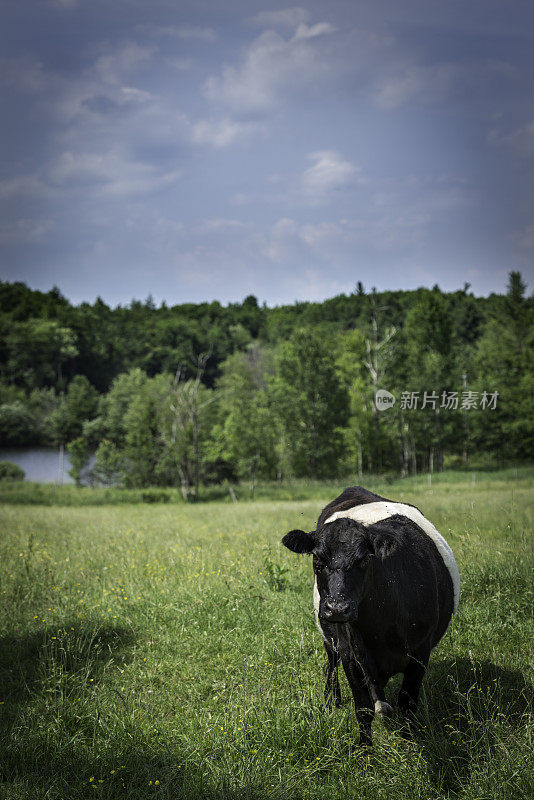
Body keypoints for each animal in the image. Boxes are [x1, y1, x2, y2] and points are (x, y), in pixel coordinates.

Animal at [282, 484, 462, 748]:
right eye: (317, 559)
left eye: (365, 559)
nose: (337, 607)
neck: (382, 631)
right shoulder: (351, 655)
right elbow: (362, 708)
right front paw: (365, 751)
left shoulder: (420, 653)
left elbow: (408, 703)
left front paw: (408, 743)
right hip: (329, 634)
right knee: (332, 661)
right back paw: (332, 702)